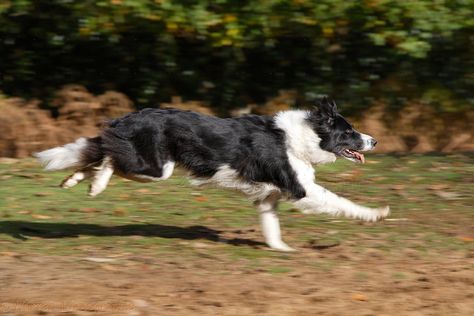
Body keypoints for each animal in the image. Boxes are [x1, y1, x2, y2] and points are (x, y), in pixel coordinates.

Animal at [36, 97, 388, 251]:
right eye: (349, 131)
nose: (374, 140)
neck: (308, 135)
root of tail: (128, 118)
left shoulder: (268, 198)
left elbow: (271, 227)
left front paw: (281, 250)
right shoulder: (302, 190)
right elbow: (341, 202)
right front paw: (375, 213)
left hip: (151, 165)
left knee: (96, 154)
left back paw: (74, 180)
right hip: (156, 168)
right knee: (109, 156)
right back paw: (96, 185)